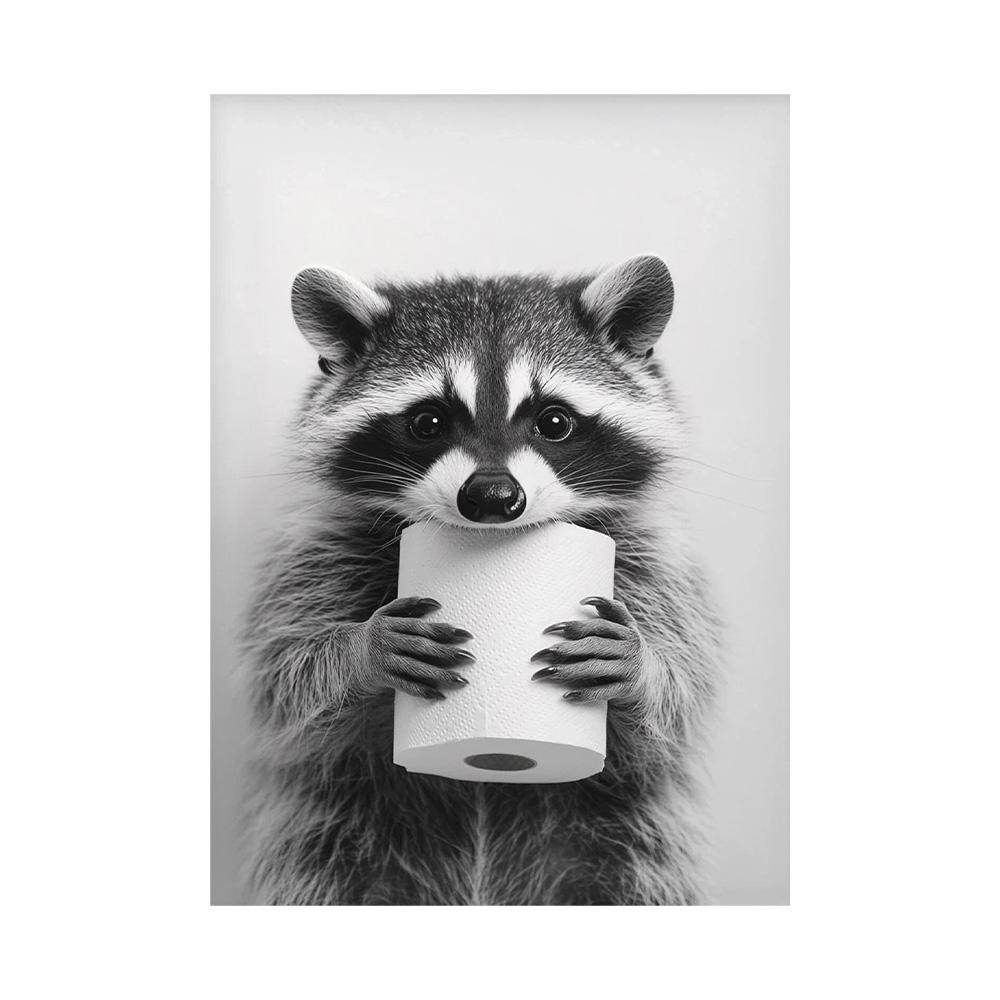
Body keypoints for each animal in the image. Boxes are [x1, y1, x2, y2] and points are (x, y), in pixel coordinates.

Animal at [243, 255, 720, 905]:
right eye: (428, 422)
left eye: (553, 421)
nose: (493, 497)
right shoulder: (320, 549)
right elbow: (285, 677)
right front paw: (358, 651)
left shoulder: (650, 556)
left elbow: (682, 694)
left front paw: (643, 668)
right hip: (341, 837)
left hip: (618, 843)